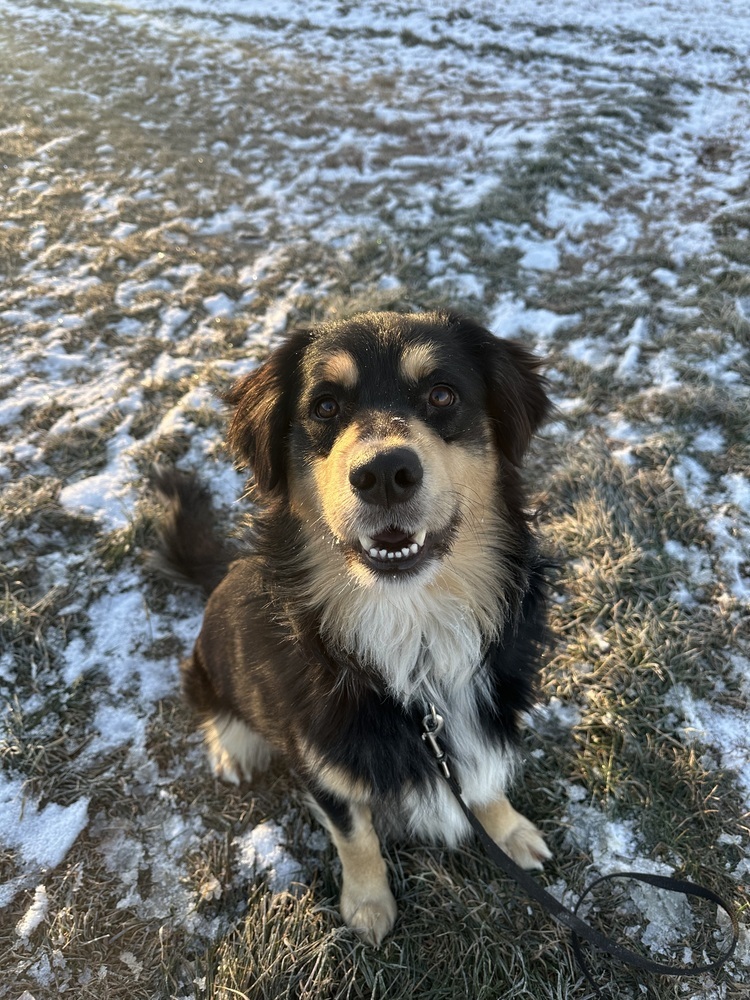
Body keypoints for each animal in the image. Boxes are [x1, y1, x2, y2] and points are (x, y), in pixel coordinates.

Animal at [151, 308, 552, 940]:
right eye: (324, 407)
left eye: (442, 394)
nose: (385, 473)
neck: (413, 635)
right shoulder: (320, 760)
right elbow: (354, 834)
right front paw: (367, 903)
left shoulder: (486, 715)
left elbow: (485, 779)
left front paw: (507, 830)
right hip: (206, 665)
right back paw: (233, 747)